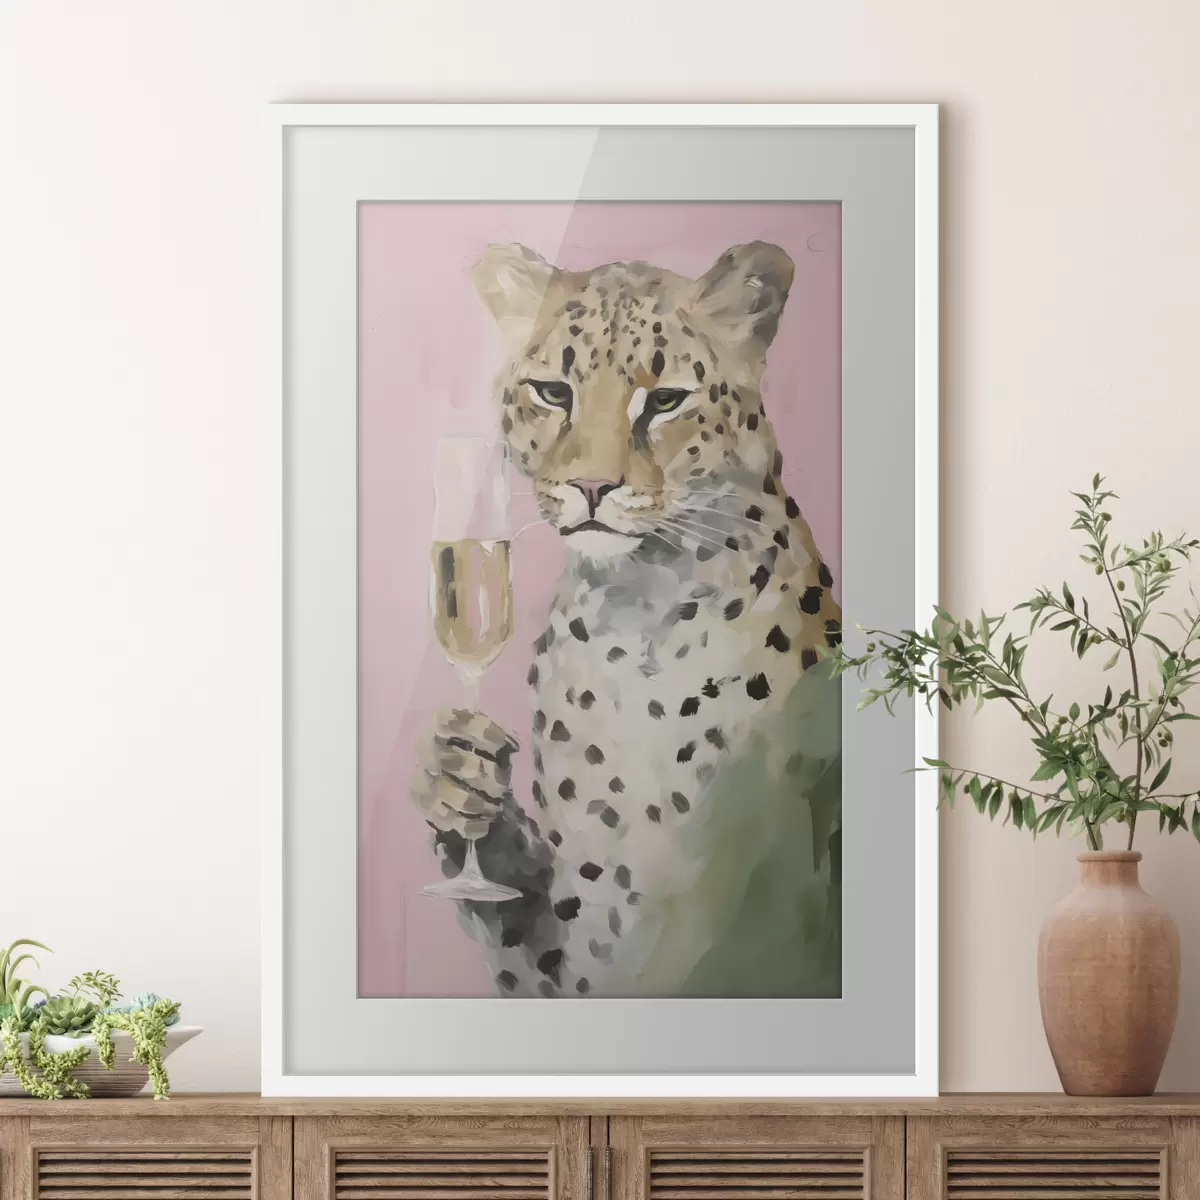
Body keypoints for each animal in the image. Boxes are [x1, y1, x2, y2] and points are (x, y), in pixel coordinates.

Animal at [412, 240, 842, 998]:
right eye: (554, 392)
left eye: (665, 400)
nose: (591, 487)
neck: (634, 615)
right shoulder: (580, 939)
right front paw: (457, 783)